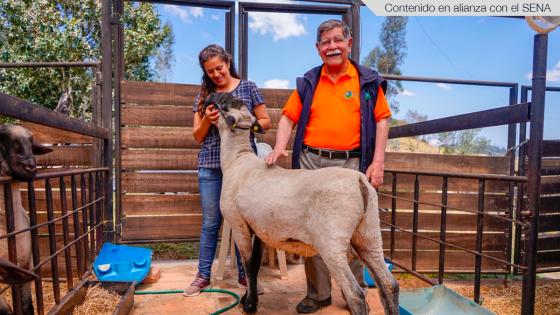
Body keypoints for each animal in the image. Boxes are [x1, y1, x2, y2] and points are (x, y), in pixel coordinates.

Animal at [208, 94, 400, 315]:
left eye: (223, 104)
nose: (210, 96)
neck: (237, 161)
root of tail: (359, 180)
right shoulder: (259, 228)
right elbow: (255, 265)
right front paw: (250, 300)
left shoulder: (239, 224)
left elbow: (248, 265)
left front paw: (249, 305)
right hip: (369, 234)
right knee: (389, 284)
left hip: (332, 243)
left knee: (356, 294)